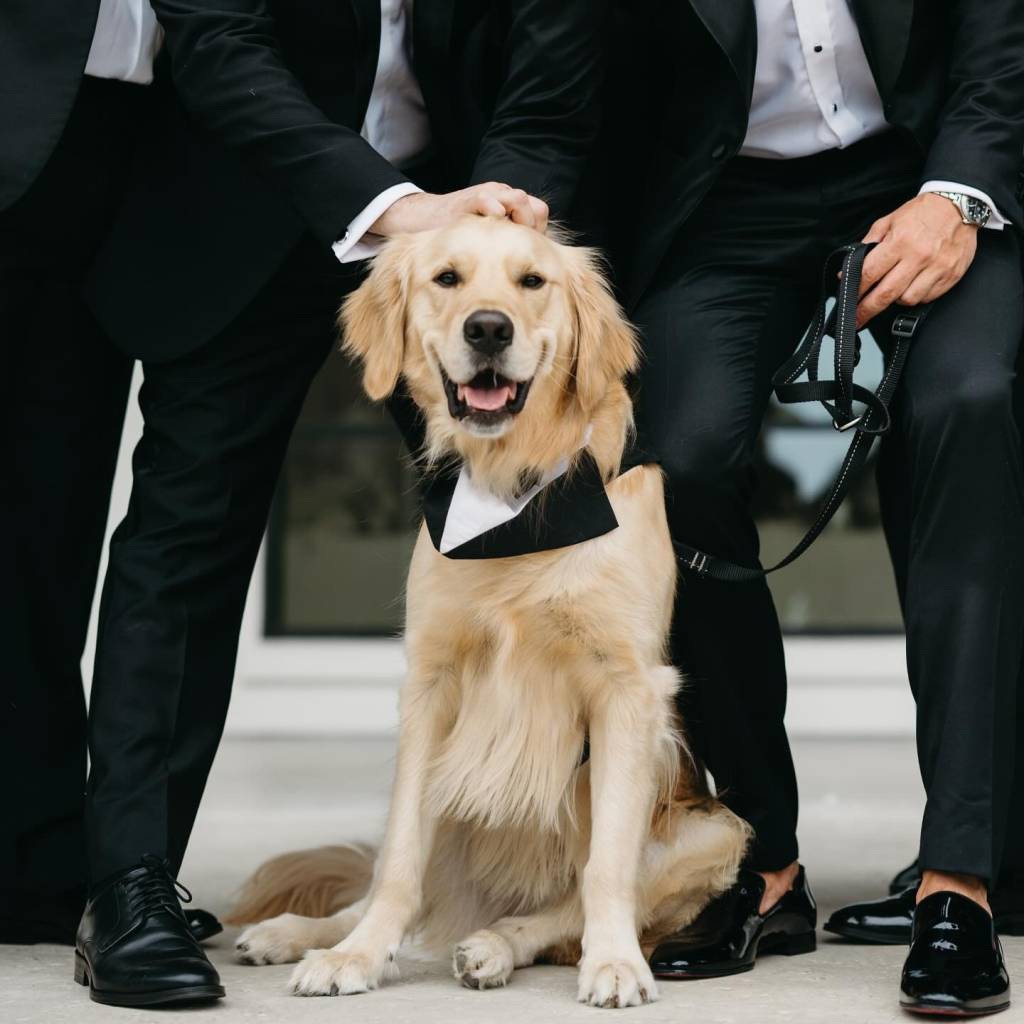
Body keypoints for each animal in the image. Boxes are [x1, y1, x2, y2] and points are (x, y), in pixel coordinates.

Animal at [228, 214, 749, 1007]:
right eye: (447, 278)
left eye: (533, 281)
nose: (488, 328)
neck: (516, 497)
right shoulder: (432, 683)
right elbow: (399, 861)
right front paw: (356, 956)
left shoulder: (628, 690)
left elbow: (605, 868)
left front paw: (615, 963)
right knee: (386, 880)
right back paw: (302, 933)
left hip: (714, 834)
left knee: (556, 915)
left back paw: (495, 946)